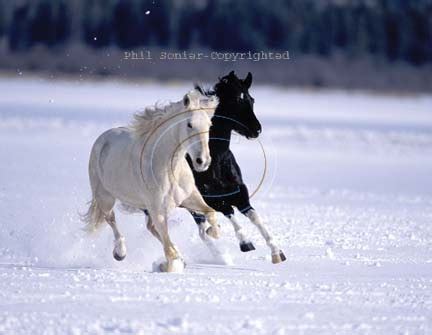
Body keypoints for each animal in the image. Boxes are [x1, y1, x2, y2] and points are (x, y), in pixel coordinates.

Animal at [83, 89, 219, 272]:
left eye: (209, 125)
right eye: (189, 124)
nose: (202, 161)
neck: (169, 167)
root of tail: (103, 138)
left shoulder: (189, 199)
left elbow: (211, 212)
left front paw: (212, 232)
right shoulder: (157, 210)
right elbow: (169, 250)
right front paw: (167, 265)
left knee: (151, 228)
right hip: (105, 198)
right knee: (111, 219)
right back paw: (120, 252)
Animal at [187, 71, 286, 266]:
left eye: (251, 99)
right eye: (235, 101)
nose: (257, 130)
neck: (217, 161)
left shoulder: (240, 193)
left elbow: (255, 217)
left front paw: (277, 252)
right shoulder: (211, 198)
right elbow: (230, 212)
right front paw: (246, 243)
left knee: (204, 230)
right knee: (202, 232)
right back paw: (221, 257)